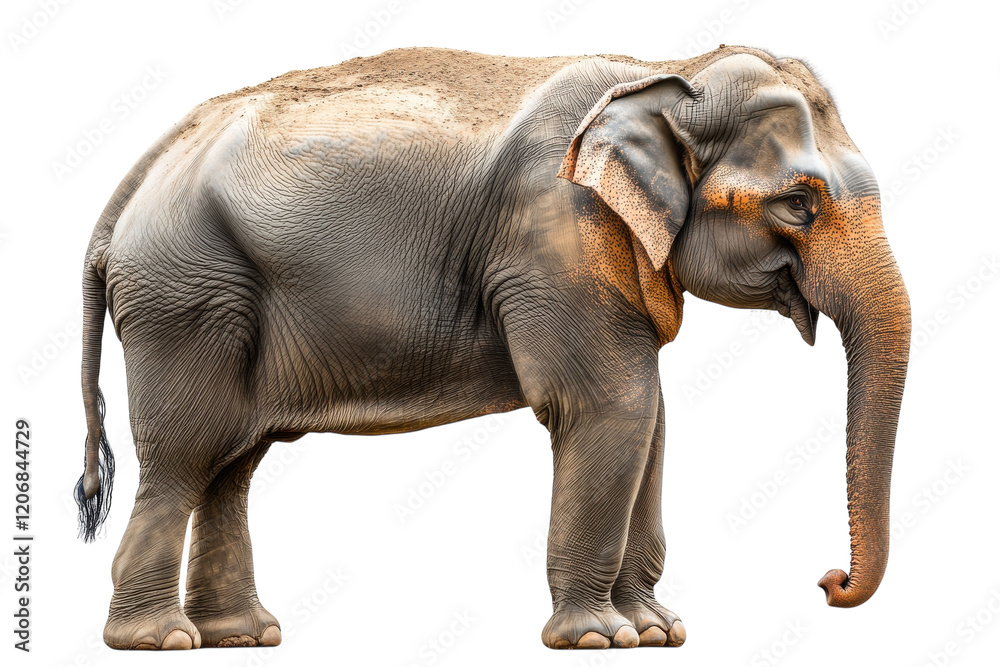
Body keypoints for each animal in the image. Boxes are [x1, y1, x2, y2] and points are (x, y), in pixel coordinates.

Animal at [75, 45, 910, 651]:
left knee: (233, 462)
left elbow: (652, 419)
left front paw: (657, 632)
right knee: (186, 454)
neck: (665, 72)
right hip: (186, 296)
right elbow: (612, 405)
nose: (829, 581)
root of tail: (137, 177)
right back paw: (158, 641)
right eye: (798, 204)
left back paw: (244, 636)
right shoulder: (553, 237)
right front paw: (600, 639)